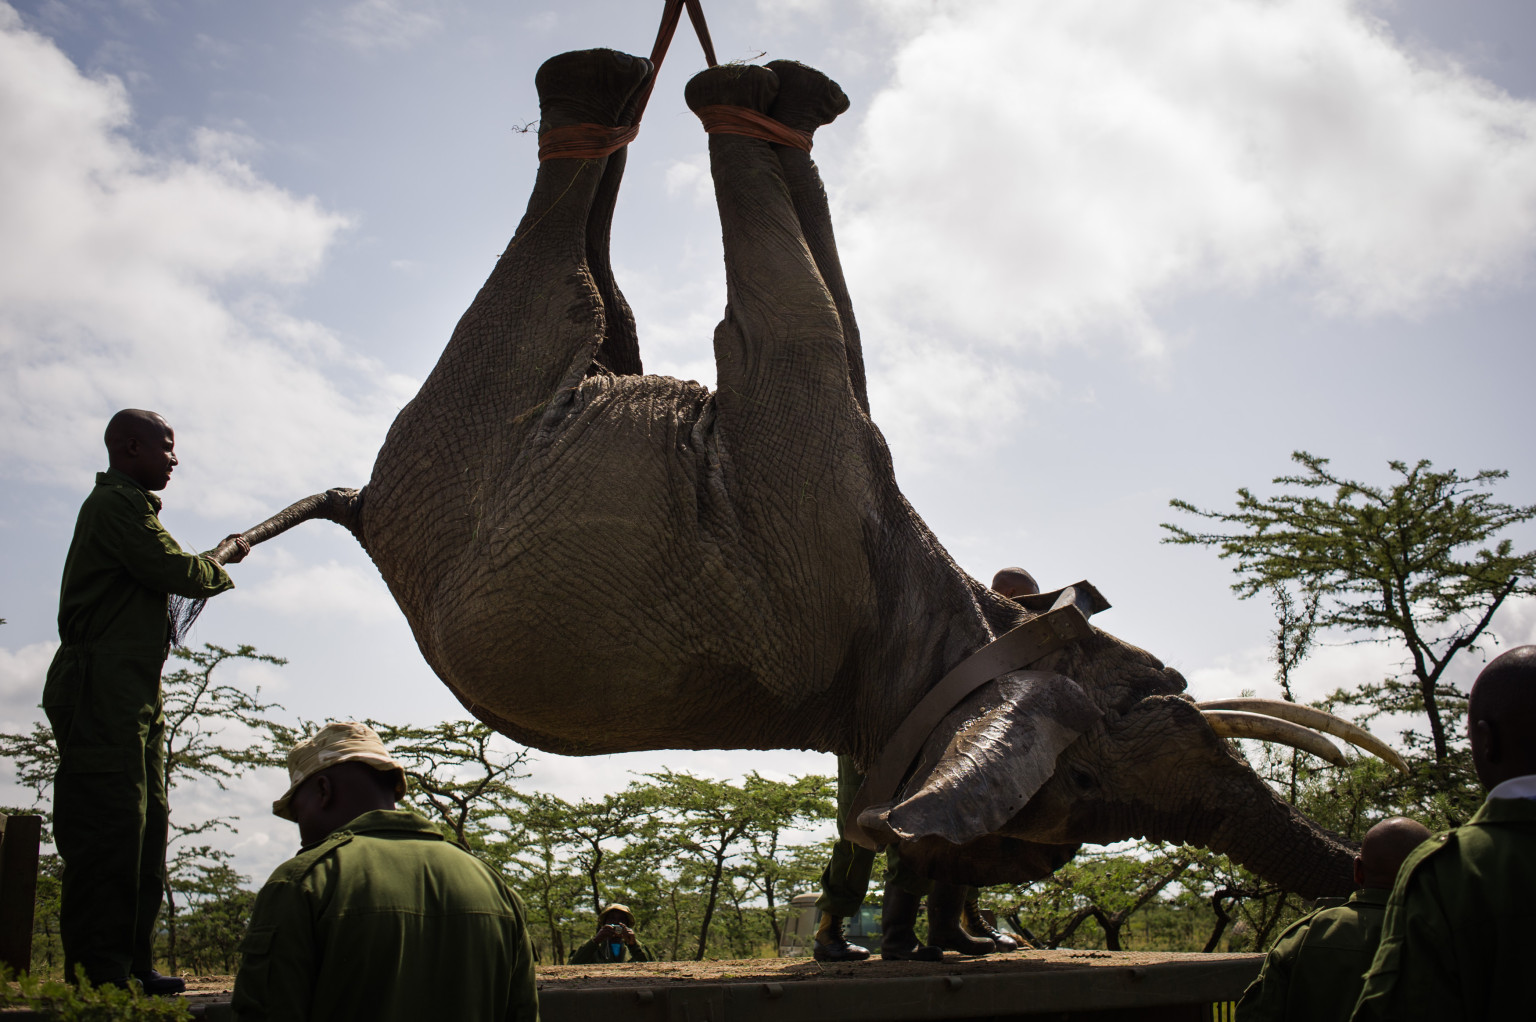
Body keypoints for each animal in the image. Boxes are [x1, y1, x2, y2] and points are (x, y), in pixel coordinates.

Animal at [218, 49, 1402, 897]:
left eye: (1081, 789)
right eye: (1152, 701)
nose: (1368, 857)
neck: (935, 644)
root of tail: (362, 510)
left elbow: (824, 321)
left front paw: (781, 102)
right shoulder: (818, 495)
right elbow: (806, 324)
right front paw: (776, 99)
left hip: (477, 423)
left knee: (592, 292)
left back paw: (631, 85)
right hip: (471, 418)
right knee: (585, 285)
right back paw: (656, 87)